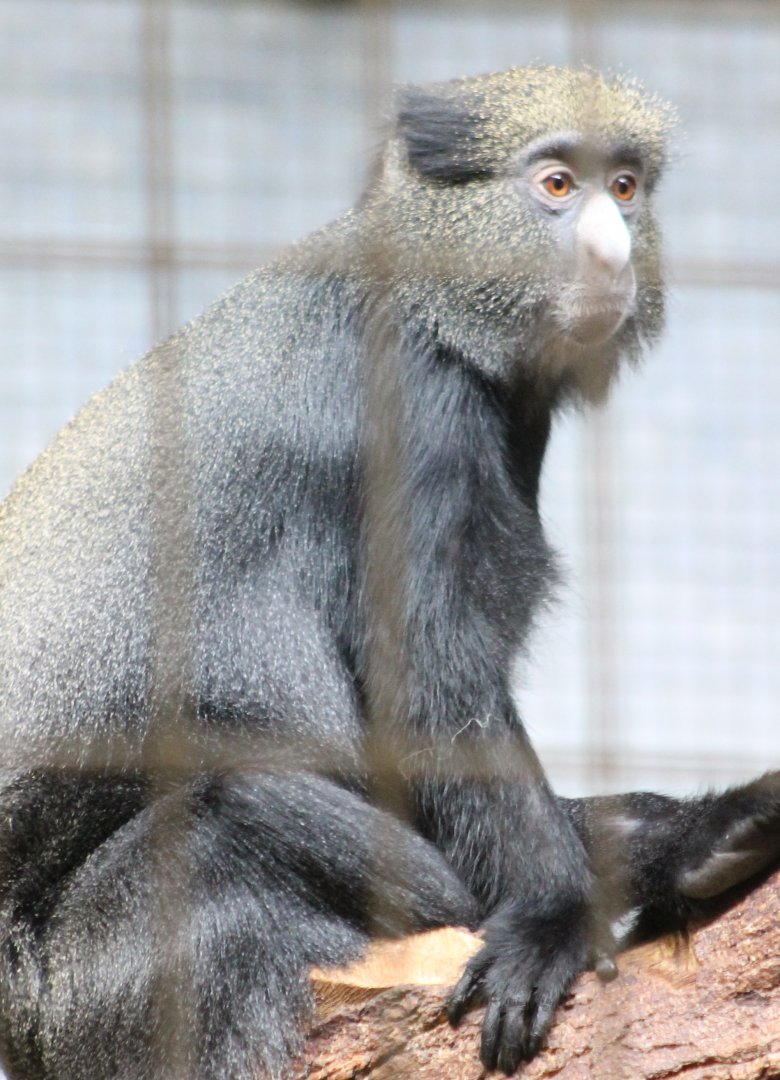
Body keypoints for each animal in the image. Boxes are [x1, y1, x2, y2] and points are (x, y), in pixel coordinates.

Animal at [0, 66, 779, 1080]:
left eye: (625, 189)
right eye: (556, 185)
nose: (613, 250)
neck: (431, 298)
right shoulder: (411, 405)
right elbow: (430, 682)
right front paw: (552, 921)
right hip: (89, 977)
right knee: (237, 813)